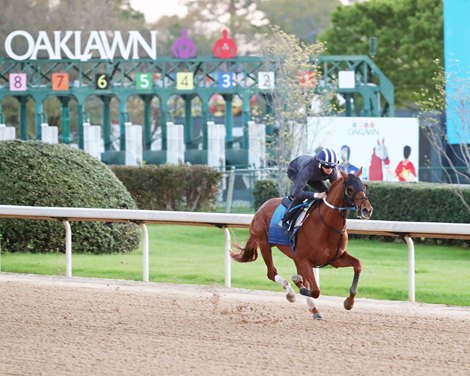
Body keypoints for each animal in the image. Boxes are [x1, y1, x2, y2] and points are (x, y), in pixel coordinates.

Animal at [229, 169, 372, 318]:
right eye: (350, 189)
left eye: (364, 187)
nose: (367, 210)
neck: (327, 225)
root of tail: (261, 208)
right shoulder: (304, 260)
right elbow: (315, 290)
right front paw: (297, 284)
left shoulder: (335, 259)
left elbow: (358, 265)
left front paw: (349, 302)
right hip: (264, 244)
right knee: (271, 273)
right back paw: (291, 293)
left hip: (294, 257)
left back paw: (314, 309)